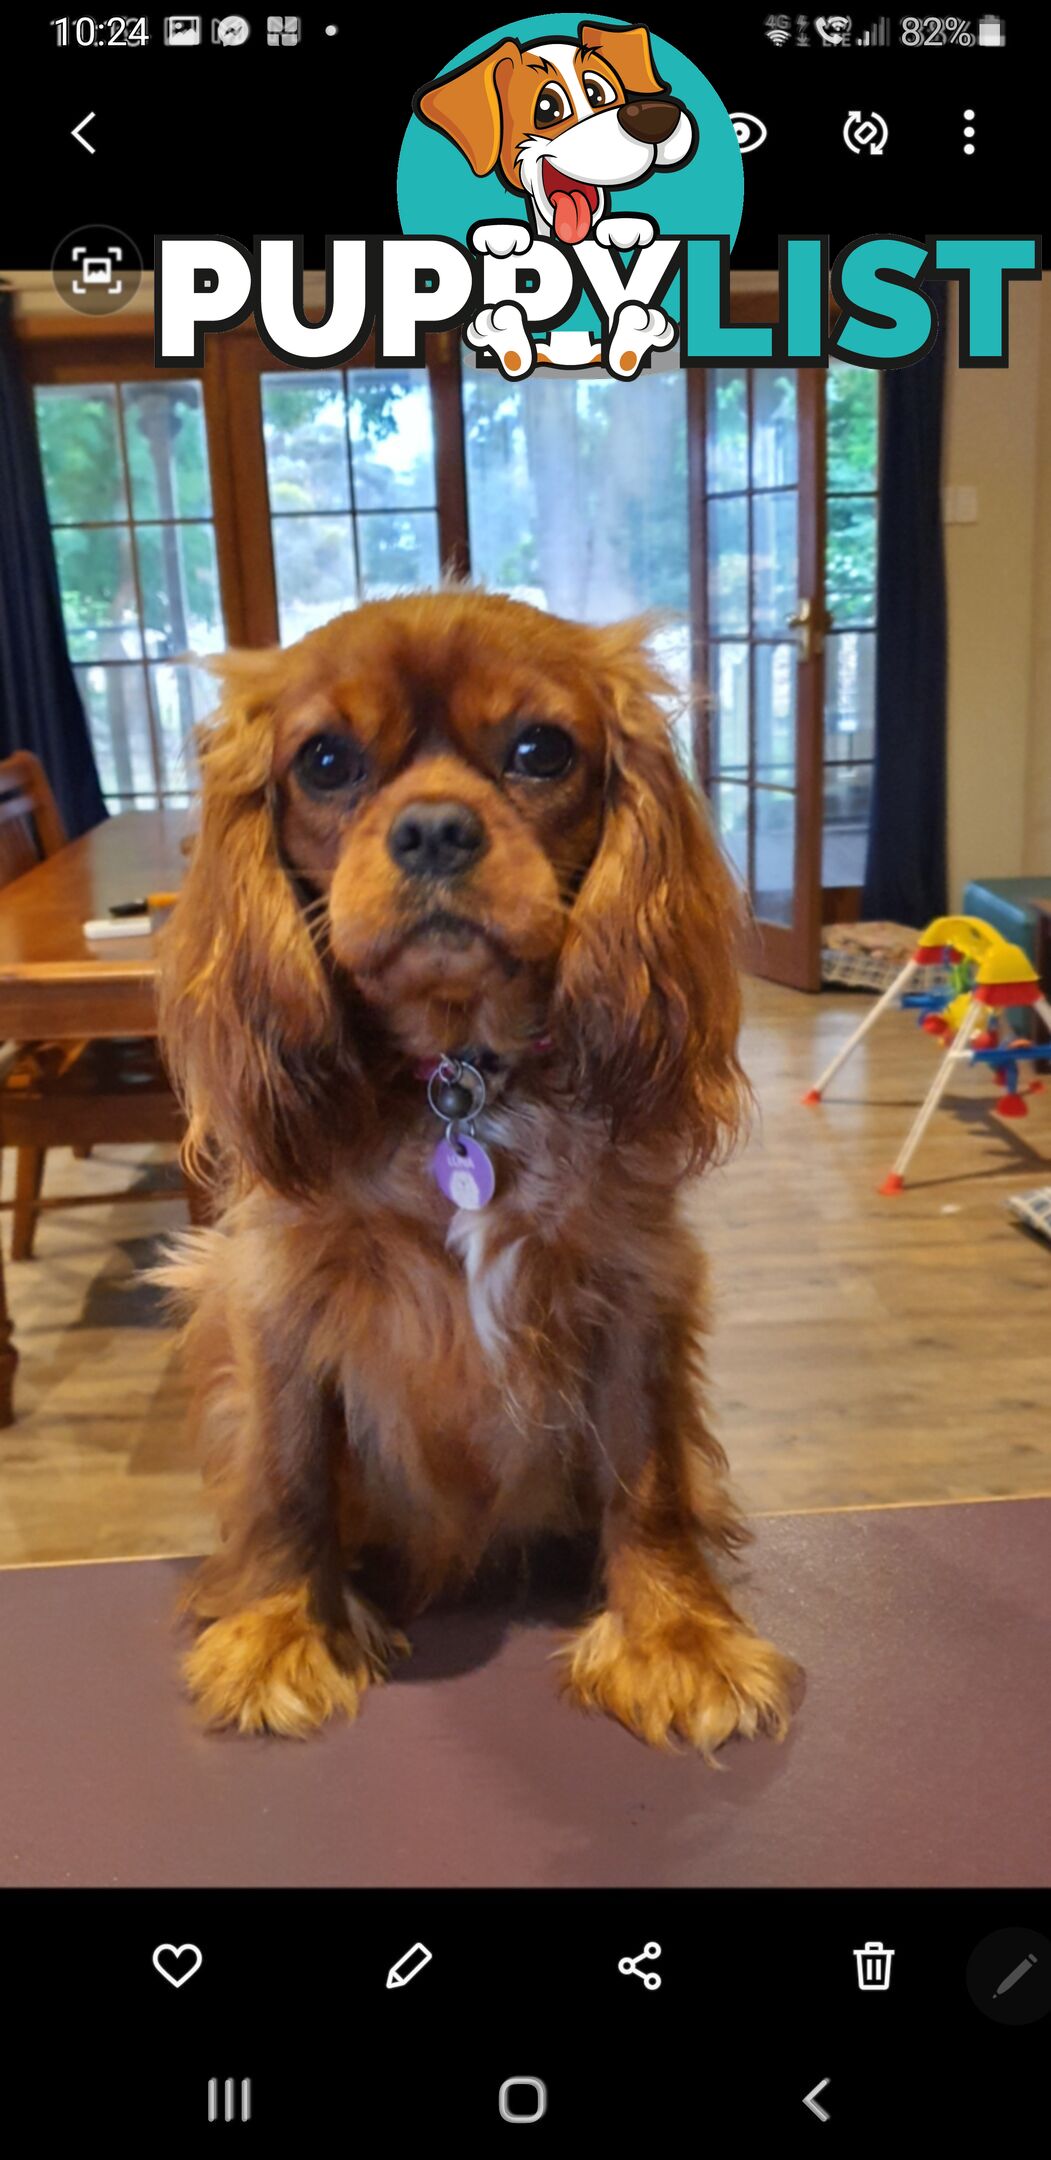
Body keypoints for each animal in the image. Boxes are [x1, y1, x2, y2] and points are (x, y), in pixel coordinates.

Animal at [160, 591, 794, 1753]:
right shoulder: (272, 1296)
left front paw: (675, 1638)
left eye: (540, 750)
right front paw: (281, 1631)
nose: (434, 829)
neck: (457, 1080)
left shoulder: (634, 1291)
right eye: (325, 761)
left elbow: (649, 1481)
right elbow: (287, 1476)